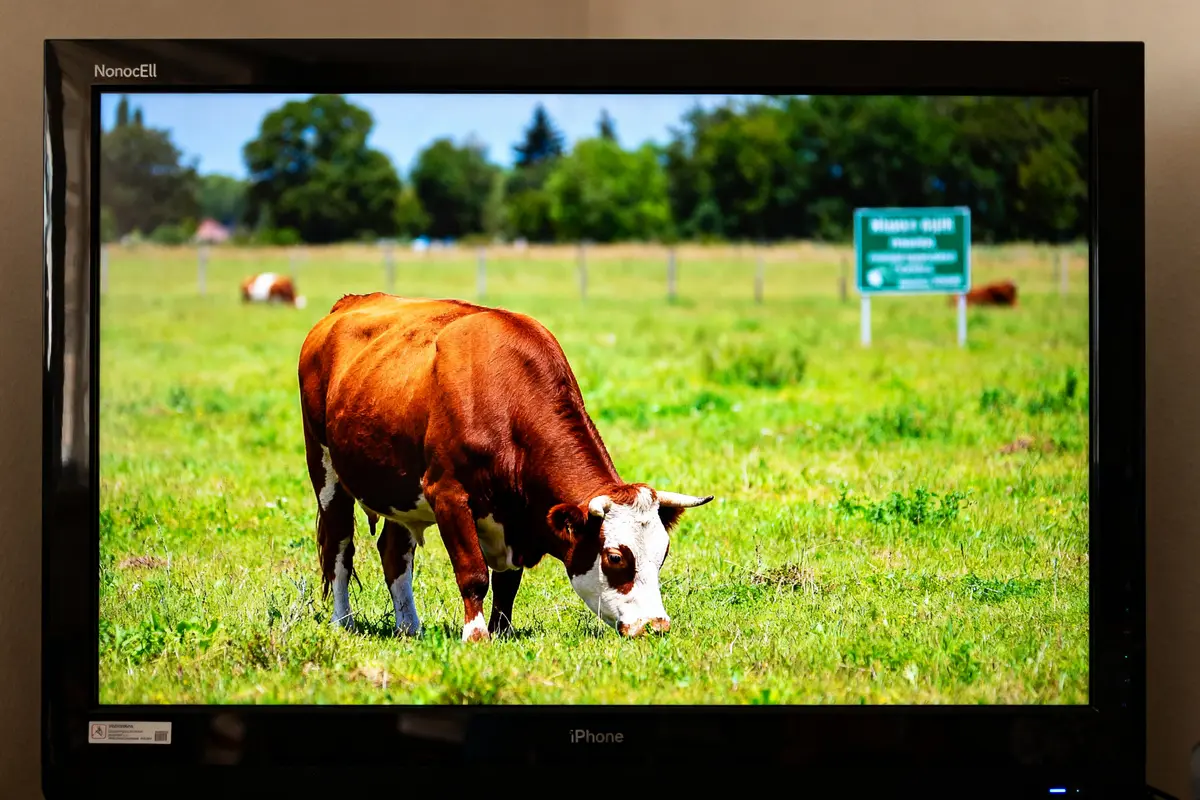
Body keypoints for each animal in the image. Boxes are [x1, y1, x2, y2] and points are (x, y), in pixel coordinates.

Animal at [297, 293, 713, 642]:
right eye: (615, 557)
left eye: (662, 553)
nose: (655, 626)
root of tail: (348, 302)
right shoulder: (447, 496)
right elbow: (474, 573)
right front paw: (476, 636)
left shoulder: (517, 521)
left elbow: (507, 584)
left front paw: (501, 632)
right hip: (325, 470)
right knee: (339, 548)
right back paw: (343, 622)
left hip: (399, 491)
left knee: (393, 551)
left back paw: (409, 627)